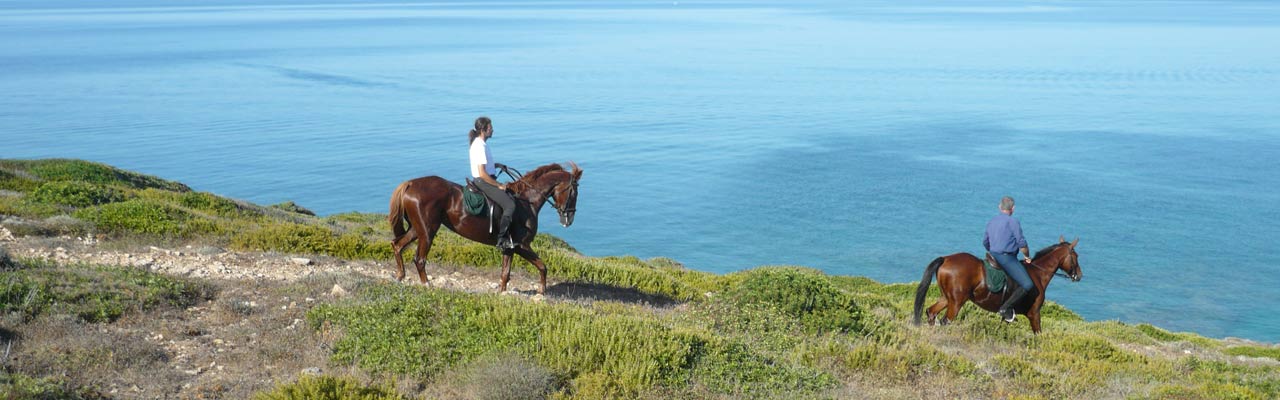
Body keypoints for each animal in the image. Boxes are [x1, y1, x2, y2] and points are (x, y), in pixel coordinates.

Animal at [387, 162, 582, 294]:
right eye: (574, 192)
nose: (569, 219)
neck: (527, 202)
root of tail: (410, 184)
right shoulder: (521, 245)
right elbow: (542, 266)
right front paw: (541, 291)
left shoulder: (510, 248)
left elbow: (505, 273)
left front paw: (502, 293)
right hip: (427, 232)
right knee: (419, 259)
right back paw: (426, 284)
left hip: (417, 229)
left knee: (397, 245)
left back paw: (400, 276)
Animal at [913, 237, 1082, 334]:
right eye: (1076, 256)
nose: (1079, 275)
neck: (1038, 273)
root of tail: (946, 258)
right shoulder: (1034, 314)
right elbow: (1038, 334)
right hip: (956, 302)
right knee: (945, 321)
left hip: (946, 298)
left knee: (931, 313)